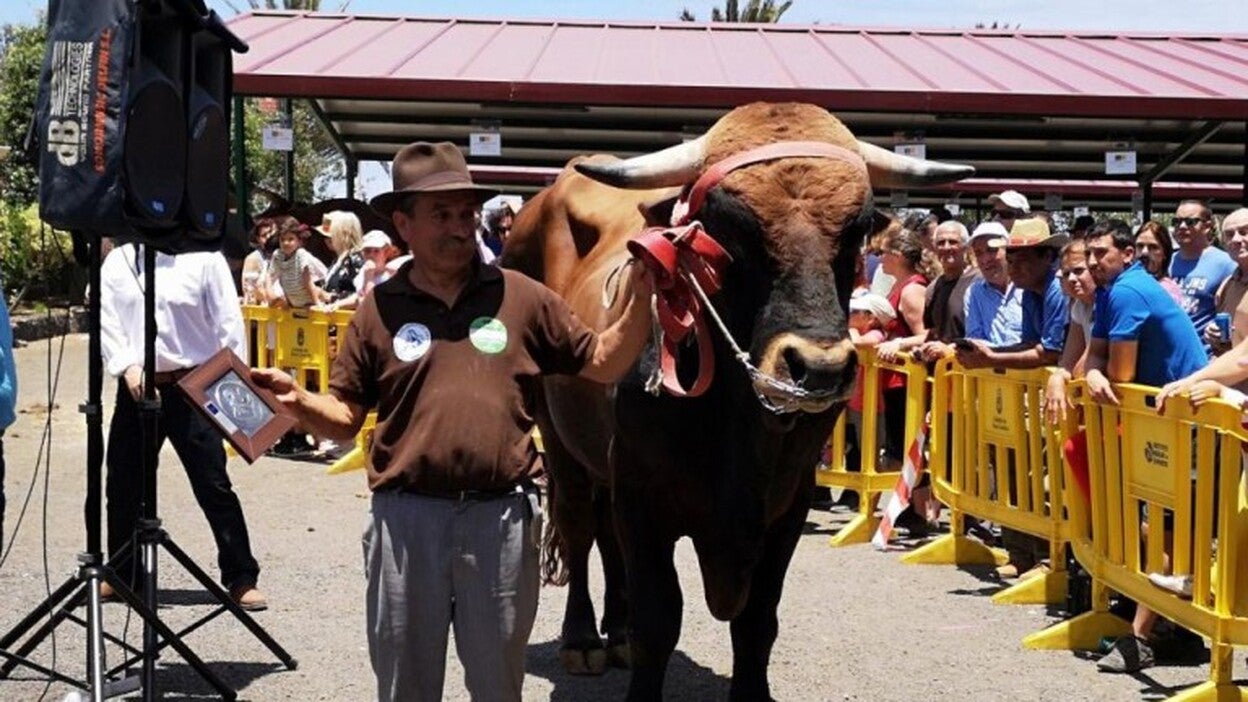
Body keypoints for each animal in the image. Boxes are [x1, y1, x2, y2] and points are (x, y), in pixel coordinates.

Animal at [501, 102, 972, 700]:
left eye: (858, 228)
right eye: (731, 227)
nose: (819, 368)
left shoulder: (788, 502)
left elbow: (757, 619)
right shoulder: (643, 496)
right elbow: (659, 618)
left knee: (606, 537)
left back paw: (617, 631)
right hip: (560, 440)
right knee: (582, 525)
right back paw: (584, 638)